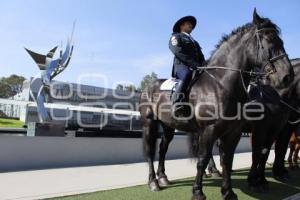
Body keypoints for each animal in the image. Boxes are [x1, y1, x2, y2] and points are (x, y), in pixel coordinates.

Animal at [139, 9, 292, 200]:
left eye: (281, 41)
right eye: (268, 40)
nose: (287, 76)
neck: (219, 84)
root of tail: (148, 86)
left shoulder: (233, 132)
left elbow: (228, 160)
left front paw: (228, 192)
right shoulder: (209, 130)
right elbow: (203, 159)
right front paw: (198, 192)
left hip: (168, 126)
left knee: (163, 148)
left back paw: (163, 178)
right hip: (149, 124)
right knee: (150, 151)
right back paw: (153, 182)